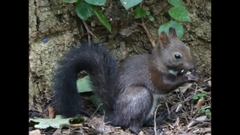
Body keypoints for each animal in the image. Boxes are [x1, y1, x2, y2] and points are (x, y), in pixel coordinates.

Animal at [52, 26, 199, 133]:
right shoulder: (154, 75)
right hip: (141, 96)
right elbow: (164, 85)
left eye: (188, 48)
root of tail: (116, 116)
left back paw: (160, 119)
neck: (160, 63)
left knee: (143, 121)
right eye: (177, 56)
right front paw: (186, 76)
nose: (192, 65)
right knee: (133, 125)